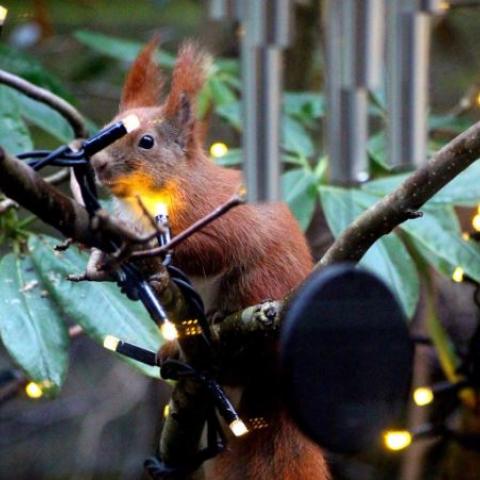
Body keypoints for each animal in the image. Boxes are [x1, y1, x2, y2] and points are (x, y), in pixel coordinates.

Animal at [90, 39, 330, 480]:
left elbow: (209, 250)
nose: (96, 165)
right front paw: (103, 262)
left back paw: (219, 322)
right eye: (110, 125)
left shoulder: (215, 215)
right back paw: (173, 351)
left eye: (146, 142)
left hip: (258, 284)